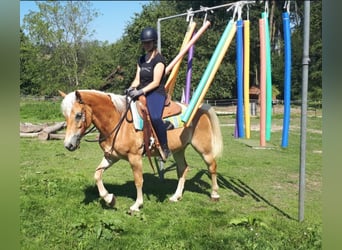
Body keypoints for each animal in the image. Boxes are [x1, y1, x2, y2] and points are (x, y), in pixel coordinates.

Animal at [59, 89, 223, 212]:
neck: (117, 121)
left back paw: (214, 194)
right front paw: (110, 199)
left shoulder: (135, 157)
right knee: (183, 169)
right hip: (178, 150)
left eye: (78, 115)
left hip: (203, 148)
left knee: (212, 166)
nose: (68, 145)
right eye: (65, 116)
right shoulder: (111, 156)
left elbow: (138, 181)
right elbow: (97, 174)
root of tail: (199, 108)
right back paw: (176, 196)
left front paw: (137, 205)